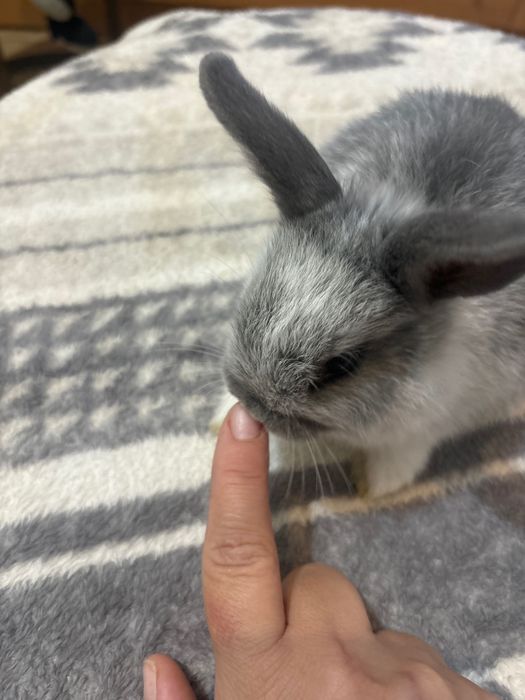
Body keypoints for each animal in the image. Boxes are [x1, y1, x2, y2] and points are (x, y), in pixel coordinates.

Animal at [199, 52, 525, 497]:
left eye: (342, 367)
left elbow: (402, 453)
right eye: (247, 304)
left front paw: (376, 487)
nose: (254, 405)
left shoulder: (425, 424)